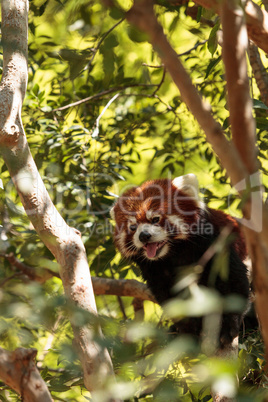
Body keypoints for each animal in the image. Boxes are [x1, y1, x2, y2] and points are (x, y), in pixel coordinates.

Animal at [111, 174, 249, 348]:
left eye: (155, 219)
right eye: (133, 227)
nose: (144, 236)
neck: (173, 253)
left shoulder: (214, 243)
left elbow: (233, 280)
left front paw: (228, 325)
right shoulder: (154, 270)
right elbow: (170, 296)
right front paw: (188, 327)